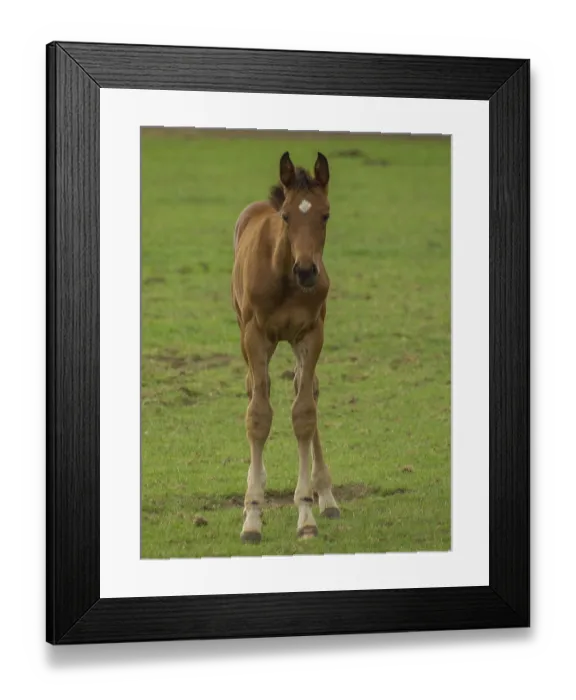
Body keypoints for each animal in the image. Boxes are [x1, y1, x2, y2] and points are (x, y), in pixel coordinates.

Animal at [231, 151, 340, 544]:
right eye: (287, 216)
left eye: (325, 215)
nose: (307, 271)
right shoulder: (255, 336)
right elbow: (258, 416)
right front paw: (252, 515)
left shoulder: (311, 334)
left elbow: (304, 413)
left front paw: (307, 513)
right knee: (254, 389)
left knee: (305, 389)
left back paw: (327, 496)